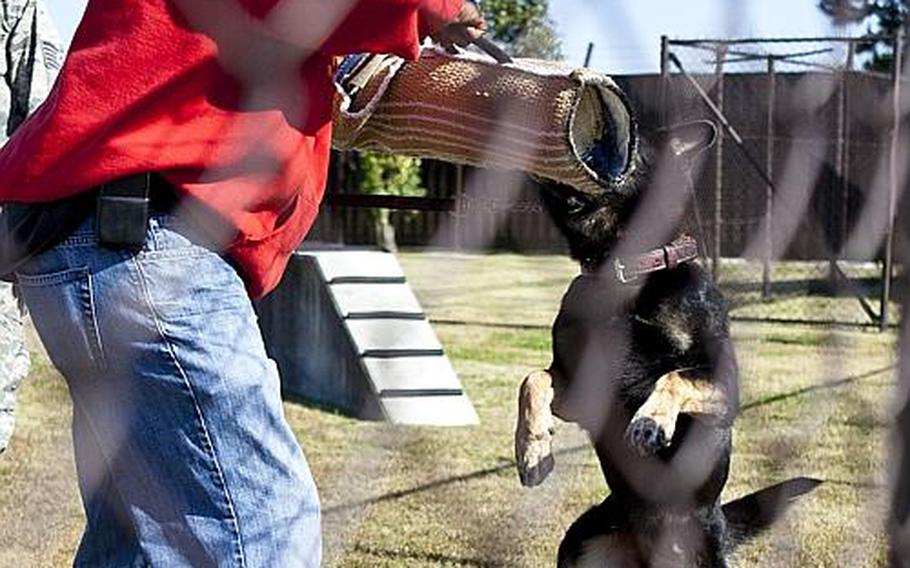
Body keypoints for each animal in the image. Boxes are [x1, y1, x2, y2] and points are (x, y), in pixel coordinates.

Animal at [512, 122, 820, 564]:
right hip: (579, 541)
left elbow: (675, 376)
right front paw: (532, 450)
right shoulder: (578, 391)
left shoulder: (726, 387)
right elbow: (532, 379)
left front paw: (650, 421)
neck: (623, 271)